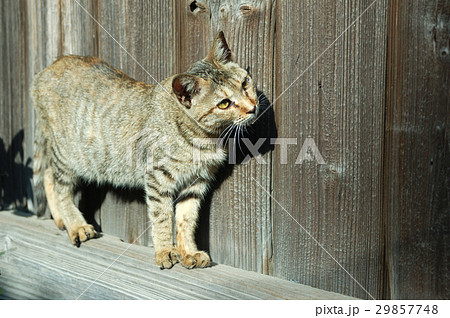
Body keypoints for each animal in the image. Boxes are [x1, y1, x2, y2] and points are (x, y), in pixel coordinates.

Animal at [31, 32, 258, 270]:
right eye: (224, 104)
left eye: (245, 83)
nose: (253, 107)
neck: (203, 138)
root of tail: (47, 69)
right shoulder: (158, 180)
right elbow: (162, 218)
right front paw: (165, 251)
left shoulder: (195, 184)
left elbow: (186, 220)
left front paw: (188, 252)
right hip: (67, 154)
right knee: (59, 186)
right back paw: (76, 225)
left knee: (48, 175)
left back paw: (61, 220)